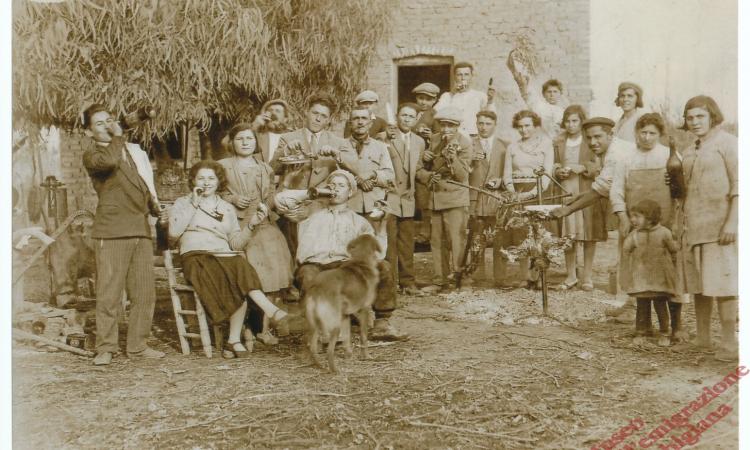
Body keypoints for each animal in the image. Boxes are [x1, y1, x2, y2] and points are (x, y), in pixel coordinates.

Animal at [306, 234, 382, 374]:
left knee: (313, 348)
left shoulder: (345, 315)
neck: (361, 261)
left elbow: (347, 337)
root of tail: (317, 287)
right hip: (334, 325)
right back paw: (334, 370)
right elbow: (363, 337)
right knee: (329, 351)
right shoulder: (363, 311)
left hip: (315, 324)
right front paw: (365, 356)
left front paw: (348, 354)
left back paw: (319, 366)